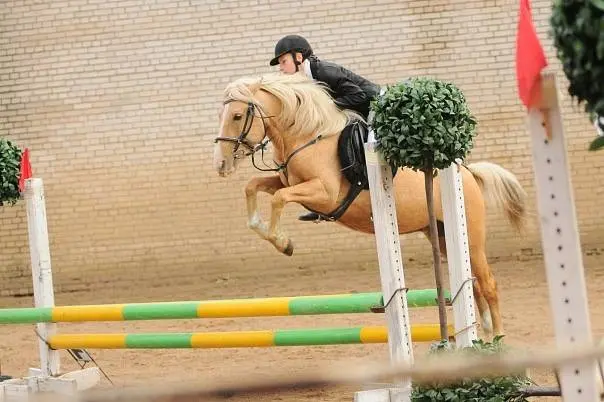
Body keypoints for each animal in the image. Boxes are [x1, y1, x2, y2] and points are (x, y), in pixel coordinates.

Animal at [214, 71, 528, 336]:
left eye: (237, 115)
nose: (221, 164)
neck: (306, 135)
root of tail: (468, 172)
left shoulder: (324, 193)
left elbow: (279, 199)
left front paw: (283, 243)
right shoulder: (287, 183)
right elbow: (253, 186)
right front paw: (270, 232)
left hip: (471, 237)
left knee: (488, 283)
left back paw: (498, 336)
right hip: (440, 234)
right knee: (471, 281)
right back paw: (483, 332)